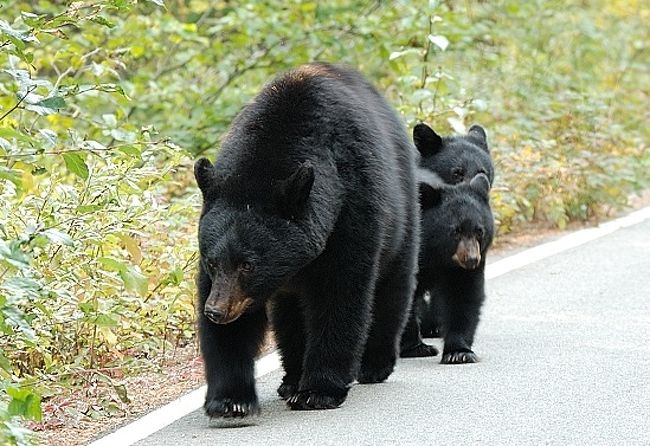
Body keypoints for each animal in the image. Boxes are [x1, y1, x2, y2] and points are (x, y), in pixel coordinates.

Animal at [194, 63, 416, 418]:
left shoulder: (351, 209)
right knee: (289, 316)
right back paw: (291, 379)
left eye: (247, 264)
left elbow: (340, 294)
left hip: (402, 216)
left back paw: (373, 365)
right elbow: (233, 331)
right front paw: (230, 399)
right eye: (212, 262)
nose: (216, 310)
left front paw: (318, 391)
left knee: (392, 287)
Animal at [398, 171, 494, 362]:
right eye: (455, 231)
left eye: (479, 231)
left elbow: (463, 295)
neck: (434, 254)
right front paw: (416, 348)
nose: (472, 259)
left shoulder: (459, 270)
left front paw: (459, 352)